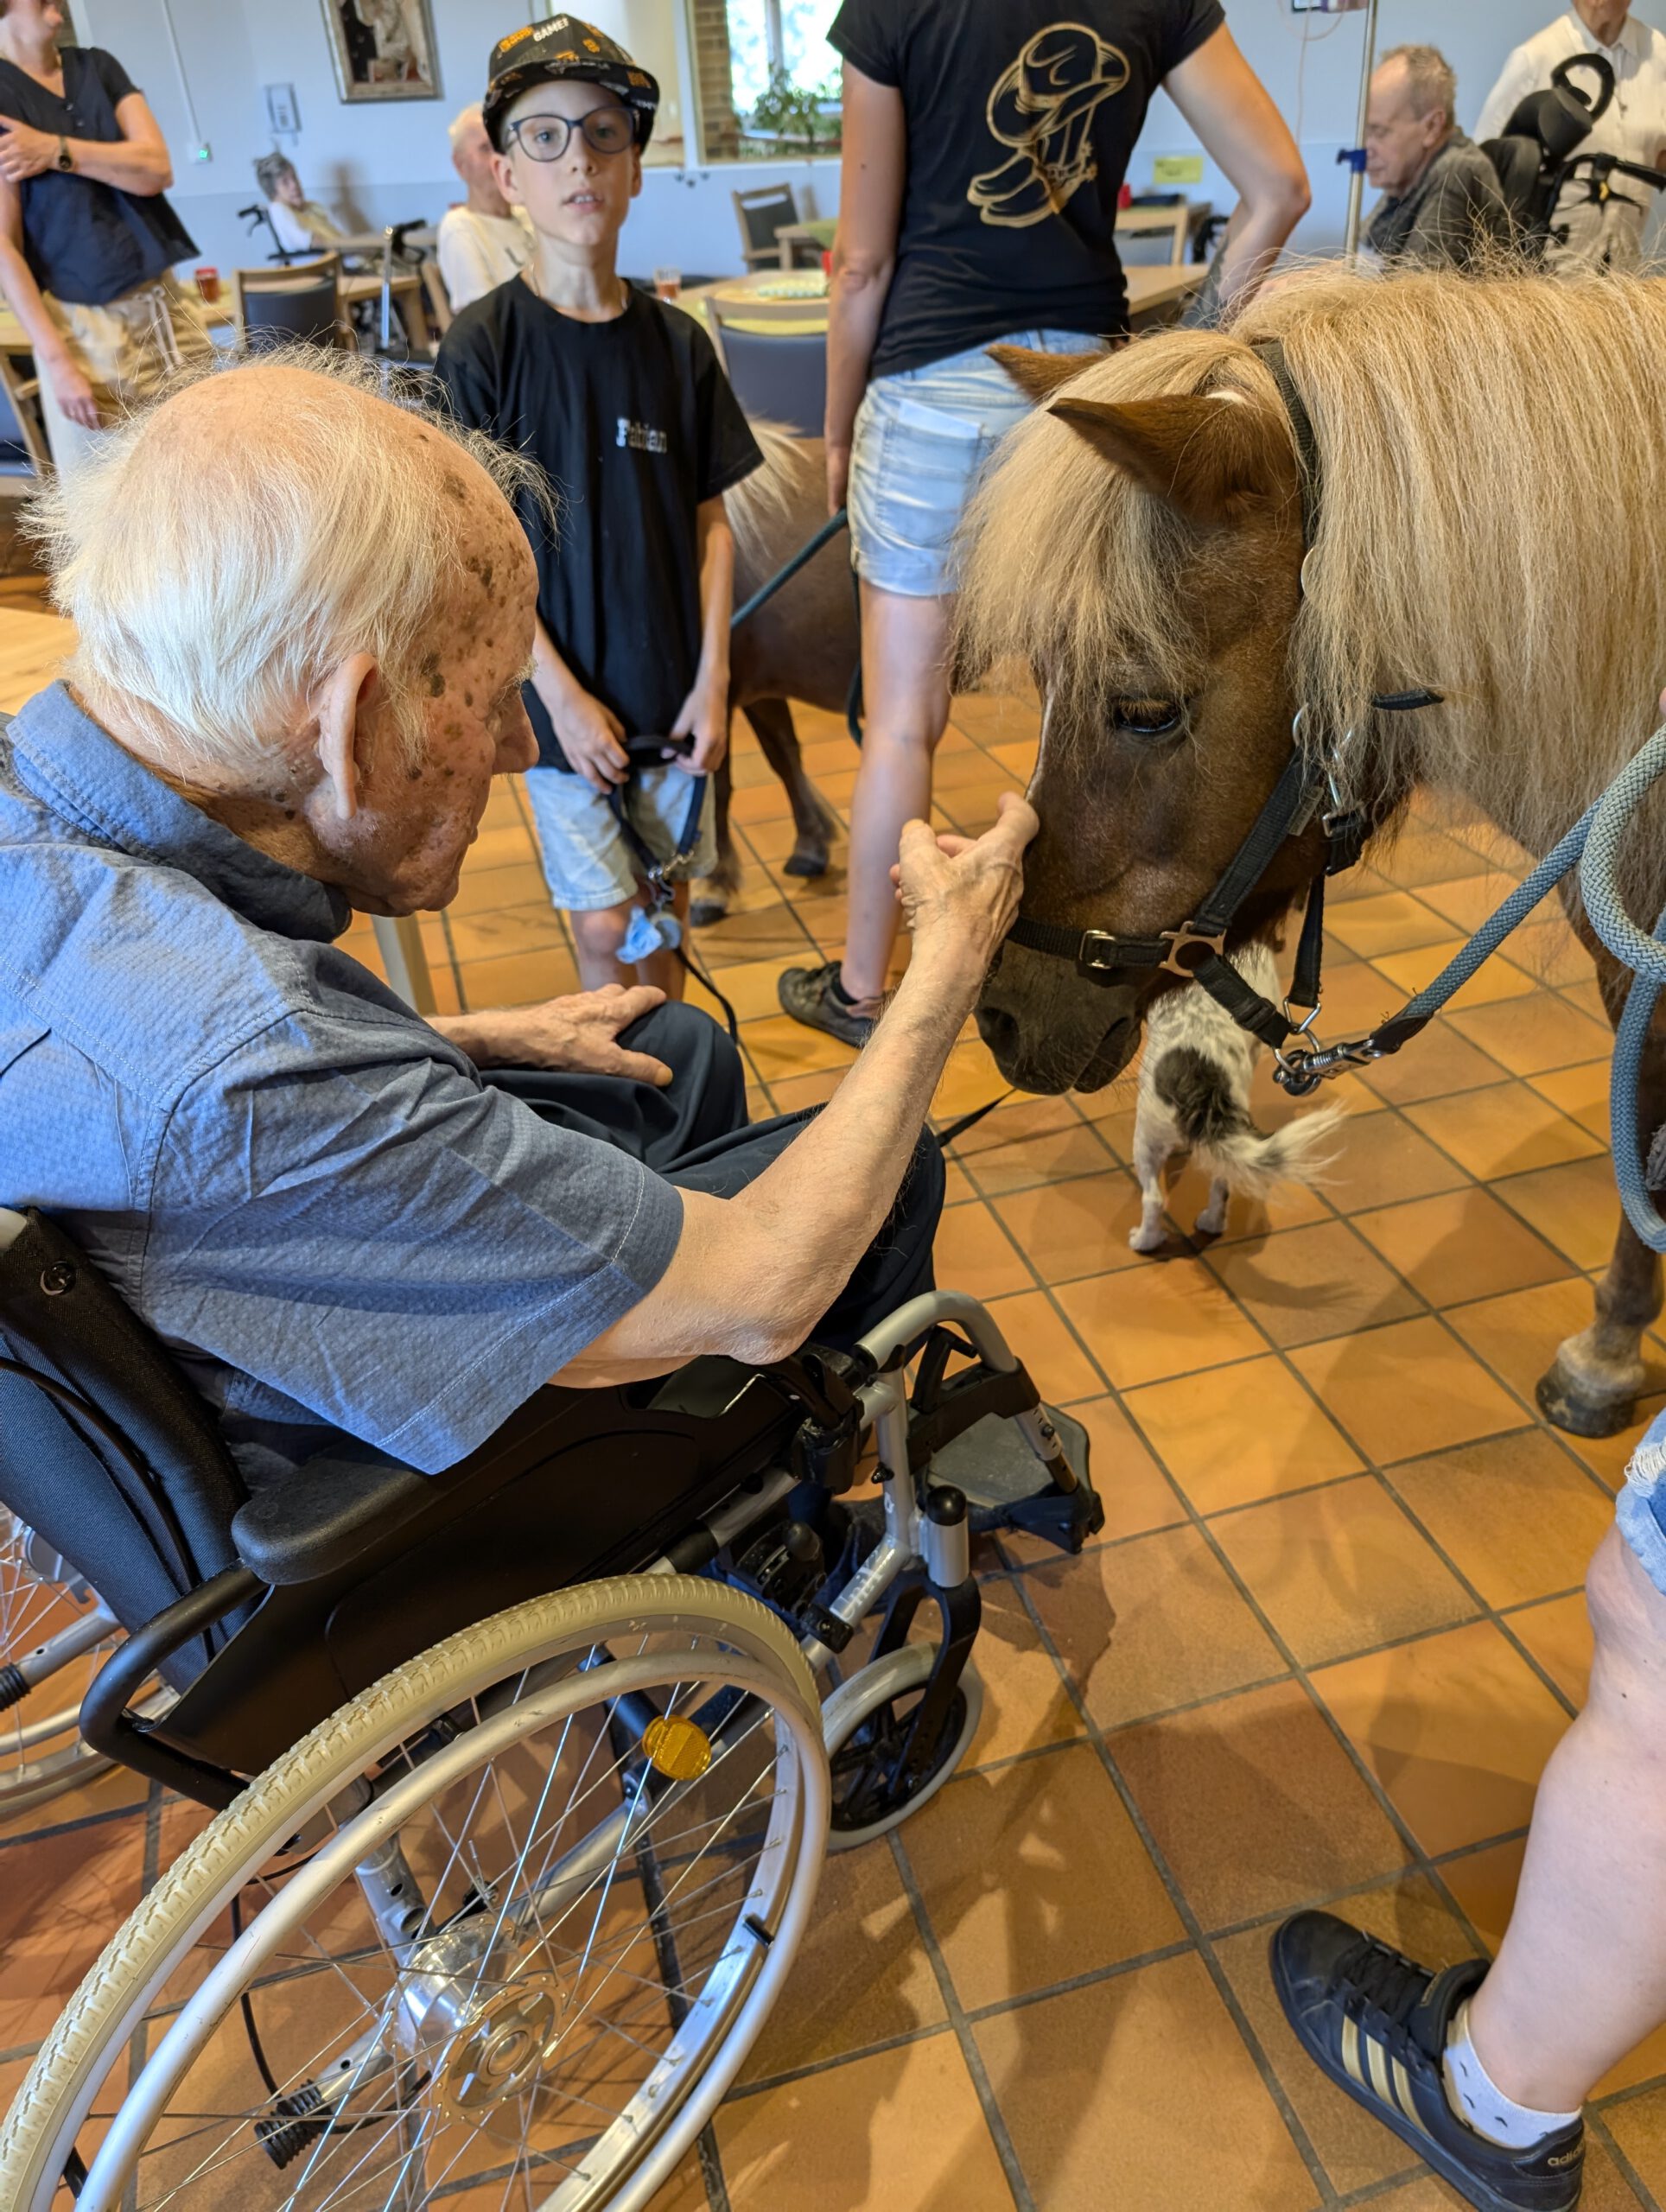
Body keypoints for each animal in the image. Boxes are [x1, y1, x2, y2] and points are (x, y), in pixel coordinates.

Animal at [1123, 938, 1345, 1256]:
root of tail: (1203, 1084)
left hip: (1146, 1137)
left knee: (1153, 1198)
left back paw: (1144, 1241)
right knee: (1222, 1184)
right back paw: (1212, 1223)